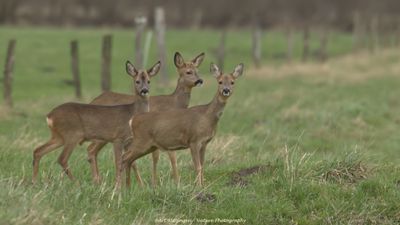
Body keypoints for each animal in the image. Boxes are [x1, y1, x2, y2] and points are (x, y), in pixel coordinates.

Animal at [32, 60, 161, 185]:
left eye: (149, 81)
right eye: (137, 81)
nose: (144, 90)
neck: (131, 113)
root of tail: (49, 116)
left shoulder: (128, 141)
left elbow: (131, 161)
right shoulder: (117, 138)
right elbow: (118, 163)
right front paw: (118, 187)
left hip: (58, 136)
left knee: (38, 151)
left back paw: (34, 182)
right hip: (72, 134)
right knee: (62, 158)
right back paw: (78, 184)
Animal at [86, 51, 205, 185]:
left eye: (197, 70)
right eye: (188, 72)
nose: (200, 80)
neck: (173, 103)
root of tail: (93, 100)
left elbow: (157, 157)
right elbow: (167, 158)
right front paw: (172, 183)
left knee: (93, 151)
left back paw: (99, 181)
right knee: (91, 149)